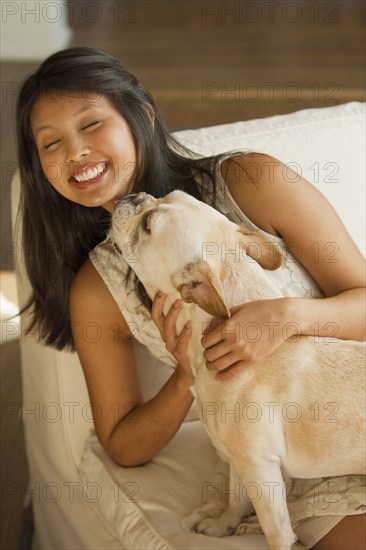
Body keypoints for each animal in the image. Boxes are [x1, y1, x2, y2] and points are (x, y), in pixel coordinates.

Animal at [111, 191, 366, 550]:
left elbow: (275, 530)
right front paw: (221, 527)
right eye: (161, 195)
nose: (134, 195)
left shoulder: (259, 468)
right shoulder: (238, 460)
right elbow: (235, 497)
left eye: (148, 224)